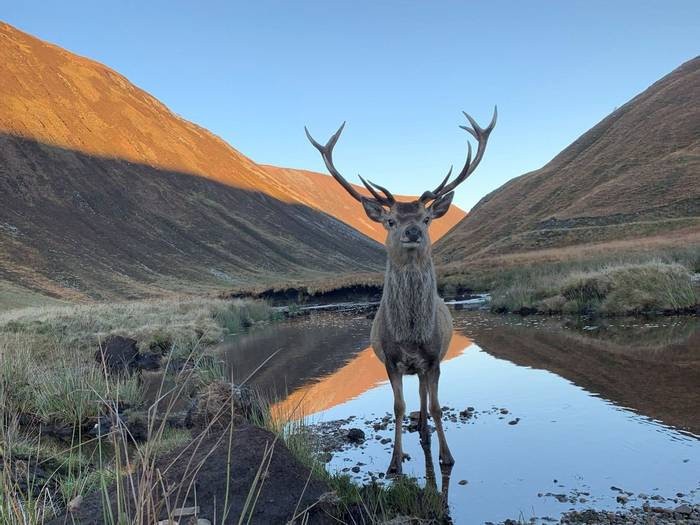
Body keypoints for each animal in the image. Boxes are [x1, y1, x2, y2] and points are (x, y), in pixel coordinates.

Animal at [306, 108, 498, 476]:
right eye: (390, 221)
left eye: (426, 218)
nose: (412, 231)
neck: (410, 336)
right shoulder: (390, 359)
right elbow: (397, 406)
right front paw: (394, 461)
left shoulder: (435, 358)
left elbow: (437, 406)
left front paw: (447, 456)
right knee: (416, 399)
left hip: (425, 367)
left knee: (425, 398)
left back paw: (424, 429)